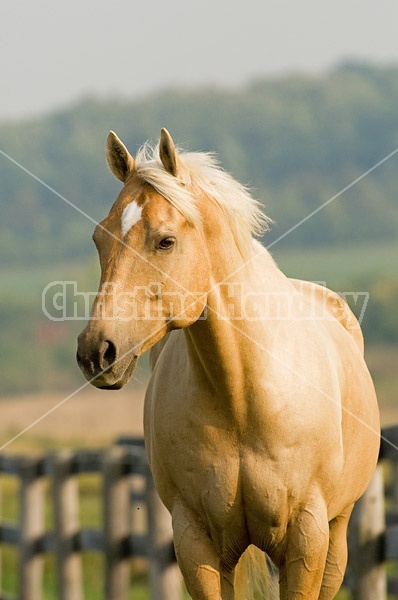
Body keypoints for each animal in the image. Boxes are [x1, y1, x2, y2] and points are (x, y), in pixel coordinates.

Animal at [77, 129, 380, 596]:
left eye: (165, 240)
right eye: (100, 238)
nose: (97, 351)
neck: (242, 396)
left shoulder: (308, 536)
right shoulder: (194, 539)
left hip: (336, 535)